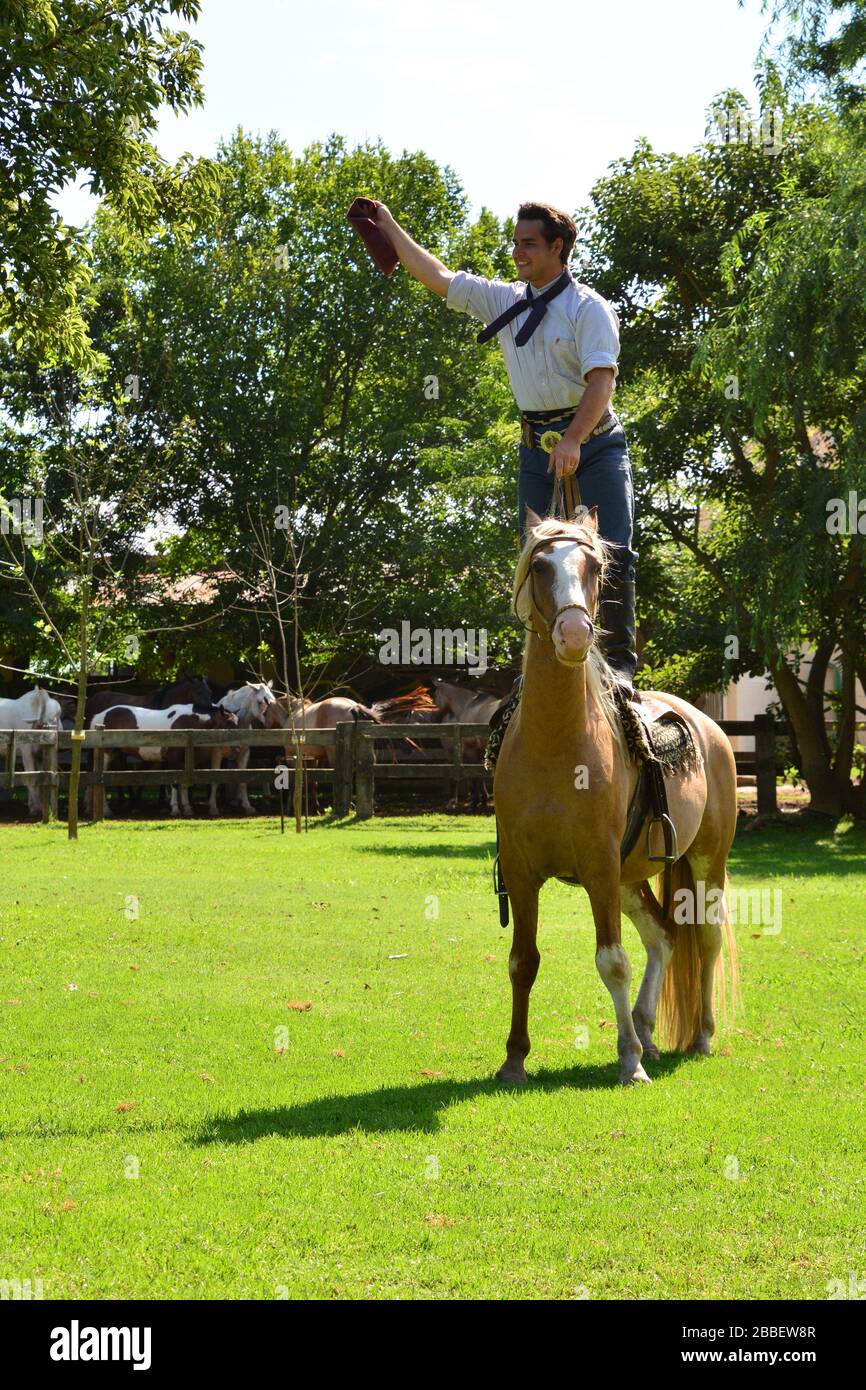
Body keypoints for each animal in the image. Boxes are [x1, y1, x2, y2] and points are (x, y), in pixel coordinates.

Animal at [0, 683, 62, 811]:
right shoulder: (26, 751)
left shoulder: (38, 755)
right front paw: (35, 808)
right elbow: (30, 777)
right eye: (53, 717)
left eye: (59, 715)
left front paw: (35, 804)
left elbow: (39, 778)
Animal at [494, 511, 739, 1084]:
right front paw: (514, 1058)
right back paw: (648, 1031)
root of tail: (709, 728)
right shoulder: (520, 869)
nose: (574, 634)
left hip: (704, 861)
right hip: (630, 878)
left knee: (705, 938)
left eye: (593, 567)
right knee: (663, 937)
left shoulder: (599, 865)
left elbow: (613, 961)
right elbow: (523, 961)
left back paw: (699, 1037)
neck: (555, 743)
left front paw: (629, 1061)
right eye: (540, 566)